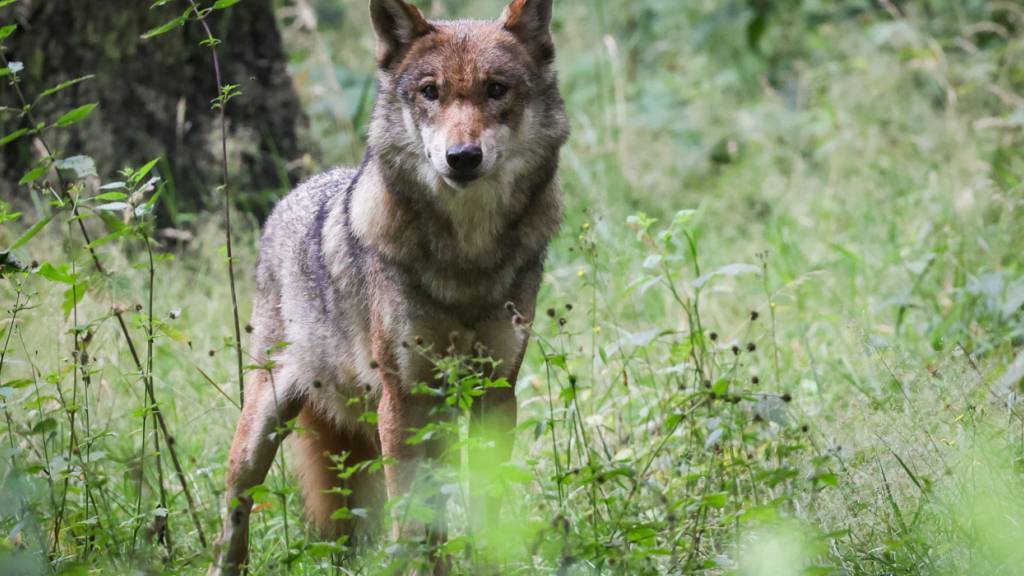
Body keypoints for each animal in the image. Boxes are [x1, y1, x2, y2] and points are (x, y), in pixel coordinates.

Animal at [208, 0, 568, 573]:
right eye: (430, 91)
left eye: (495, 89)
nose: (462, 157)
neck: (466, 259)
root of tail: (292, 196)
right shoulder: (402, 400)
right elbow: (410, 519)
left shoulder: (494, 393)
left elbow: (484, 511)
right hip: (263, 427)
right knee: (234, 511)